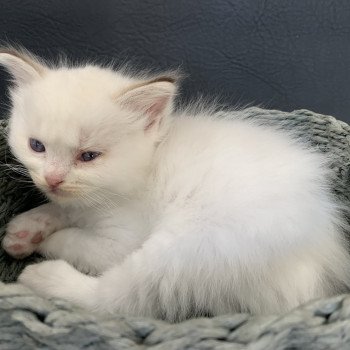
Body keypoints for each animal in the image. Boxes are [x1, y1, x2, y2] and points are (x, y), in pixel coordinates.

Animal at [0, 47, 350, 322]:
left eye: (88, 156)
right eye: (36, 146)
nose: (53, 178)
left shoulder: (120, 241)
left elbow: (78, 239)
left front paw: (45, 240)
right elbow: (64, 208)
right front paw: (26, 229)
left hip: (191, 249)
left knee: (117, 300)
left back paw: (44, 278)